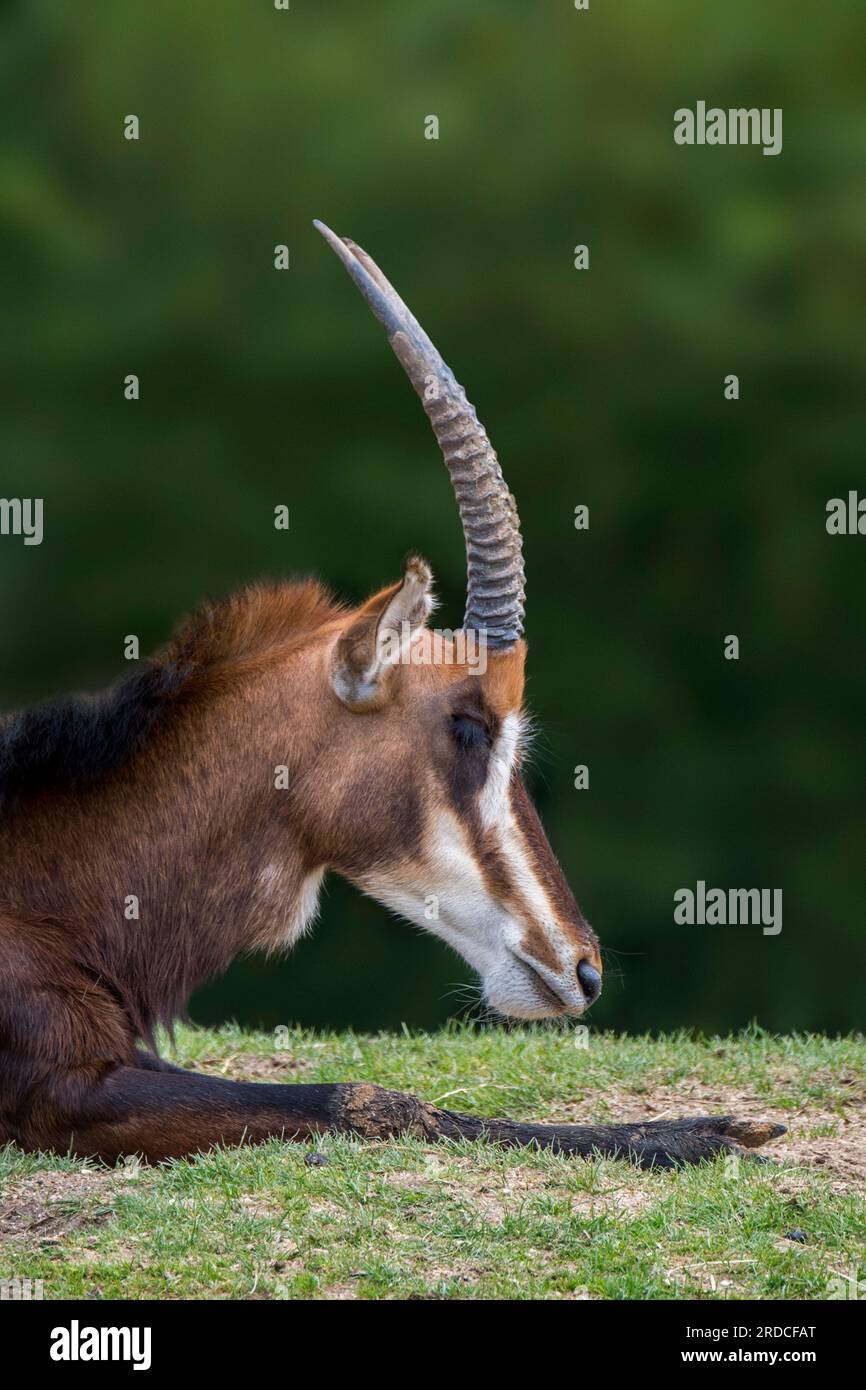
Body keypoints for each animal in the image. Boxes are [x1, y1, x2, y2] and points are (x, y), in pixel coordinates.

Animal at [0, 222, 783, 1167]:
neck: (51, 893)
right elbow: (368, 1097)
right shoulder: (65, 1092)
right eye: (470, 726)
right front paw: (707, 1133)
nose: (584, 970)